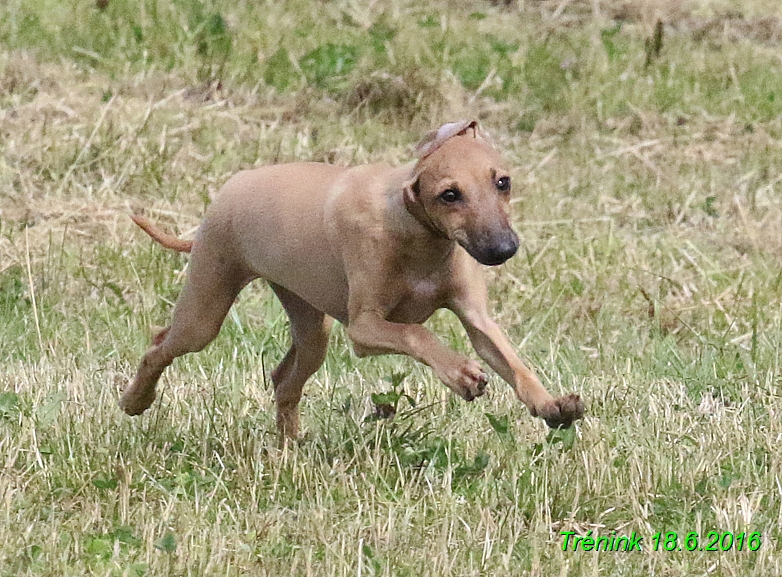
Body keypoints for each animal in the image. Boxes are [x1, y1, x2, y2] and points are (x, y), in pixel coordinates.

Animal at [122, 120, 584, 436]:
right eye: (449, 195)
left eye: (502, 183)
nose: (503, 249)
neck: (417, 233)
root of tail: (231, 187)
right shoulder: (364, 328)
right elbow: (417, 332)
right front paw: (460, 373)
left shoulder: (477, 319)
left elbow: (513, 362)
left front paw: (550, 405)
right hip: (204, 311)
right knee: (159, 345)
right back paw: (135, 400)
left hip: (311, 326)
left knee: (284, 380)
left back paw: (288, 450)